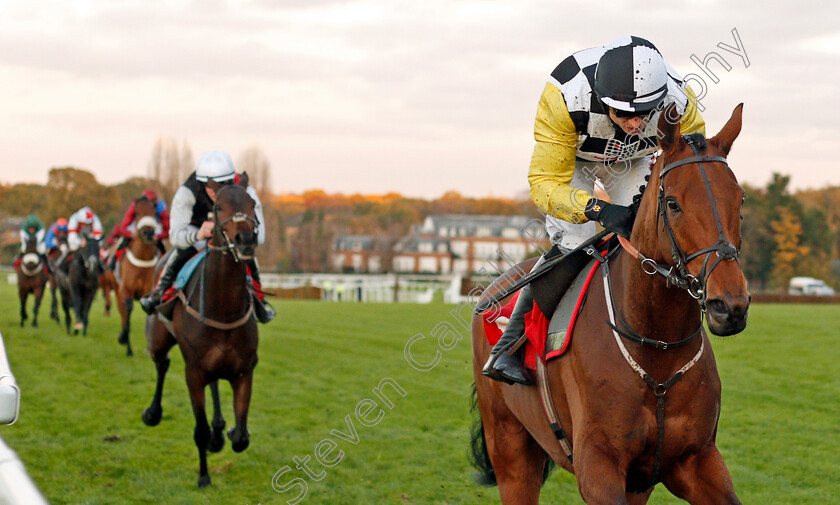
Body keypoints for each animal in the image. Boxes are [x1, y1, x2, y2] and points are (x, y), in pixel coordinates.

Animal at [115, 195, 160, 356]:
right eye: (137, 214)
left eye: (154, 213)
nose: (148, 233)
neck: (143, 258)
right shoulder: (125, 290)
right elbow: (127, 310)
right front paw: (125, 341)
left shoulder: (147, 291)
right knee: (122, 311)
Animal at [141, 183, 260, 486]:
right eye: (218, 207)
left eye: (252, 204)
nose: (245, 239)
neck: (224, 310)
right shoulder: (193, 372)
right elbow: (200, 429)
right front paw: (204, 476)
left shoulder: (244, 370)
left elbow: (241, 437)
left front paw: (227, 433)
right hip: (158, 339)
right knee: (162, 363)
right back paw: (152, 413)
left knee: (214, 382)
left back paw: (219, 431)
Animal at [470, 103, 752, 504]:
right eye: (673, 203)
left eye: (739, 199)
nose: (728, 305)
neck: (658, 348)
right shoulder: (598, 465)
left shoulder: (694, 460)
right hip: (510, 448)